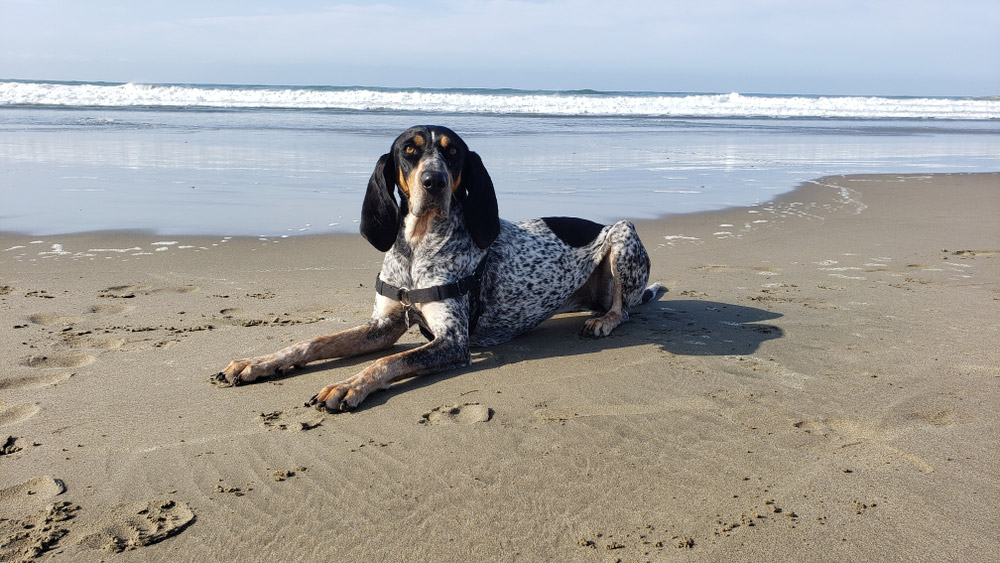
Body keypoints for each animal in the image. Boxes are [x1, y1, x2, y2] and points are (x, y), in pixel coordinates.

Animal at [215, 125, 660, 412]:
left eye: (453, 153)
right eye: (409, 151)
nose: (434, 181)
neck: (417, 248)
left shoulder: (452, 341)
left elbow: (387, 362)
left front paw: (347, 384)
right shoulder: (383, 325)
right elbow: (315, 341)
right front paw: (260, 362)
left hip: (623, 232)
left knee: (623, 308)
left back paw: (604, 321)